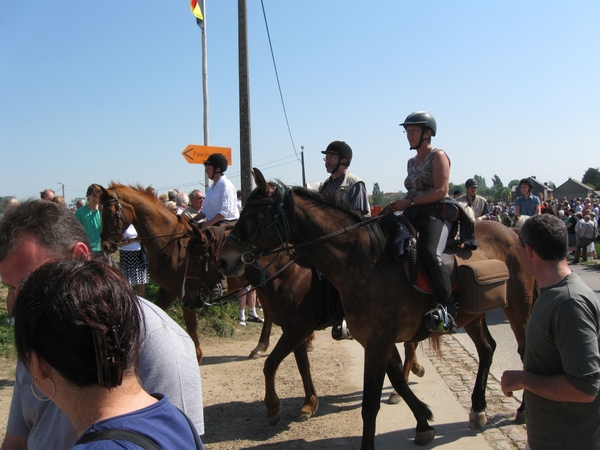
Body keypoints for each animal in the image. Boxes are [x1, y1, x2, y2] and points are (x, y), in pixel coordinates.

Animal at [217, 170, 536, 450]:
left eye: (252, 215)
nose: (225, 260)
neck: (364, 262)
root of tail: (512, 232)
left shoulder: (368, 339)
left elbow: (369, 403)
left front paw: (276, 408)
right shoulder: (373, 340)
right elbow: (396, 379)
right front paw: (423, 421)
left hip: (519, 309)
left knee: (524, 353)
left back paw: (521, 410)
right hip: (473, 316)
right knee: (487, 349)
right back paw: (478, 409)